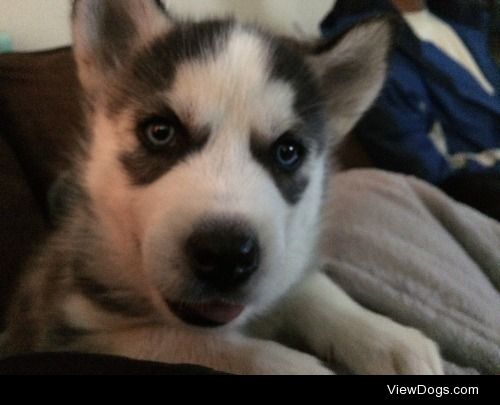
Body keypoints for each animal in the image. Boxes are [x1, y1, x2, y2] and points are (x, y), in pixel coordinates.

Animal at [1, 0, 444, 374]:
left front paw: (387, 336)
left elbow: (303, 282)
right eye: (160, 132)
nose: (227, 255)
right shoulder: (70, 331)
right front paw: (293, 365)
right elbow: (196, 344)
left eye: (287, 152)